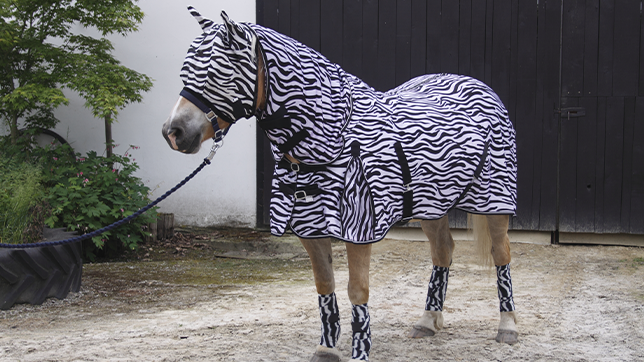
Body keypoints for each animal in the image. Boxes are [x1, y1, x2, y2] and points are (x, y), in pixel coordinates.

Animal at [162, 7, 520, 360]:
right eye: (185, 72)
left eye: (217, 74)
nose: (173, 133)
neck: (335, 136)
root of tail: (480, 87)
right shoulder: (310, 228)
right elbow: (325, 286)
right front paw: (326, 348)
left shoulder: (359, 229)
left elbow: (356, 290)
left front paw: (360, 351)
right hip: (432, 204)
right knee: (443, 252)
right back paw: (428, 322)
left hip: (495, 201)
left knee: (501, 253)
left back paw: (508, 328)